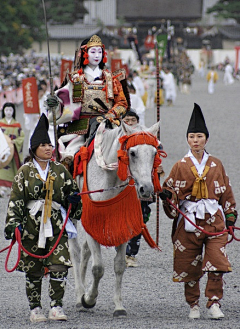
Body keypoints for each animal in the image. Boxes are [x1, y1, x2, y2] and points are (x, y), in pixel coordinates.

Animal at [68, 120, 160, 316]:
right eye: (132, 153)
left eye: (154, 153)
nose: (147, 189)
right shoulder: (92, 223)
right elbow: (98, 268)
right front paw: (89, 299)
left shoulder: (122, 225)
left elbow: (119, 265)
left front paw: (118, 305)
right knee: (76, 252)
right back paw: (80, 295)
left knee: (85, 251)